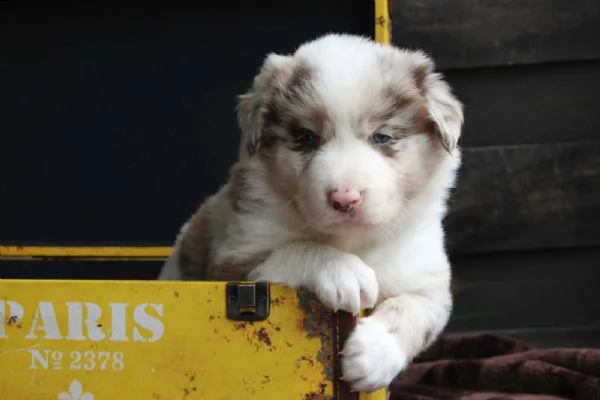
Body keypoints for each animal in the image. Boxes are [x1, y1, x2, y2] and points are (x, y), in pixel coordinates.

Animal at [159, 33, 464, 390]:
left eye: (382, 136)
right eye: (306, 138)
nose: (345, 198)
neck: (351, 241)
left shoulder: (426, 277)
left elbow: (416, 307)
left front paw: (374, 354)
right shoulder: (234, 258)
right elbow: (300, 247)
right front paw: (344, 271)